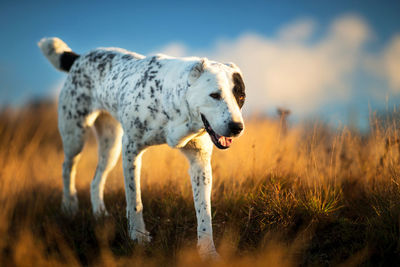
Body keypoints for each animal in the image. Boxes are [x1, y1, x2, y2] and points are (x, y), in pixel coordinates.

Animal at [38, 37, 244, 260]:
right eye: (214, 95)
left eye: (241, 97)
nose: (237, 127)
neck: (175, 102)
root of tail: (78, 57)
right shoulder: (131, 150)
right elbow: (134, 199)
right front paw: (138, 236)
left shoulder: (199, 162)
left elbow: (204, 209)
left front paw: (207, 250)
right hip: (75, 136)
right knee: (67, 167)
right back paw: (69, 206)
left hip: (110, 147)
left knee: (95, 181)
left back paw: (100, 214)